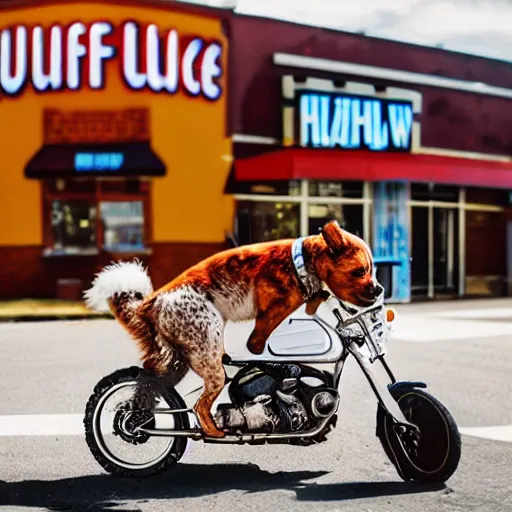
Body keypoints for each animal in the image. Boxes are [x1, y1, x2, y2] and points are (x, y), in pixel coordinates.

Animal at [83, 218, 380, 438]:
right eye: (359, 271)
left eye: (373, 270)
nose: (379, 289)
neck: (301, 261)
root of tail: (154, 301)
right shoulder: (273, 310)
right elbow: (260, 338)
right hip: (211, 361)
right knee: (199, 405)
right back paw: (213, 431)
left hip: (175, 362)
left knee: (149, 386)